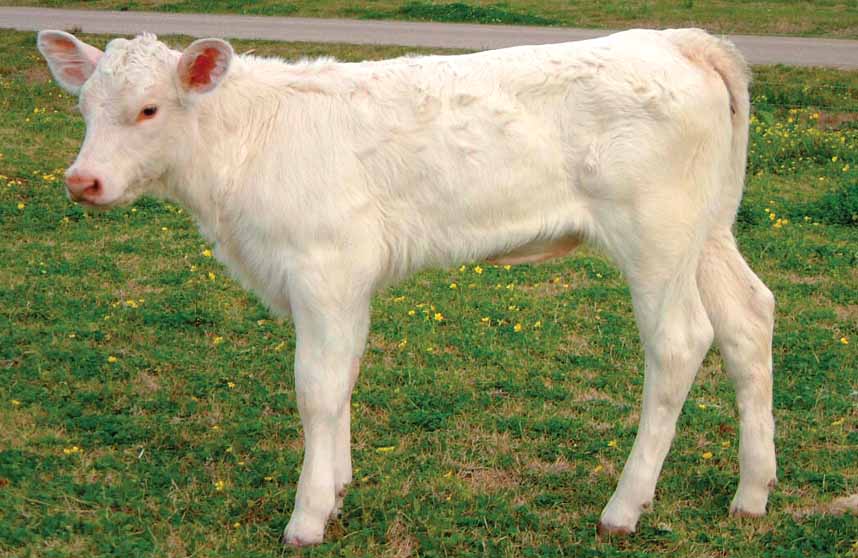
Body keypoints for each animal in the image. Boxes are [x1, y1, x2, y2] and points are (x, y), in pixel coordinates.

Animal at [37, 28, 776, 546]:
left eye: (149, 109)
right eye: (84, 106)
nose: (82, 181)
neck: (245, 144)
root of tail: (677, 40)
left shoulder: (324, 267)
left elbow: (317, 388)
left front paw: (307, 517)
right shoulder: (343, 284)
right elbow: (344, 377)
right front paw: (336, 489)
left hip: (655, 236)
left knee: (679, 343)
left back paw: (624, 508)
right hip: (706, 232)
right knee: (748, 320)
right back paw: (752, 493)